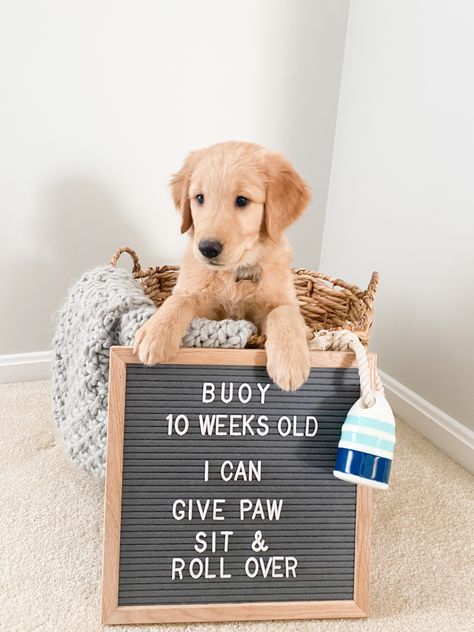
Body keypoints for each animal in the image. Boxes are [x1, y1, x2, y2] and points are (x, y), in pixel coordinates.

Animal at [134, 141, 312, 390]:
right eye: (199, 198)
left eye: (242, 200)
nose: (207, 248)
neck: (234, 273)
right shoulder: (200, 300)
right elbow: (178, 300)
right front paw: (155, 331)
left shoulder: (283, 302)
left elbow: (283, 312)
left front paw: (289, 361)